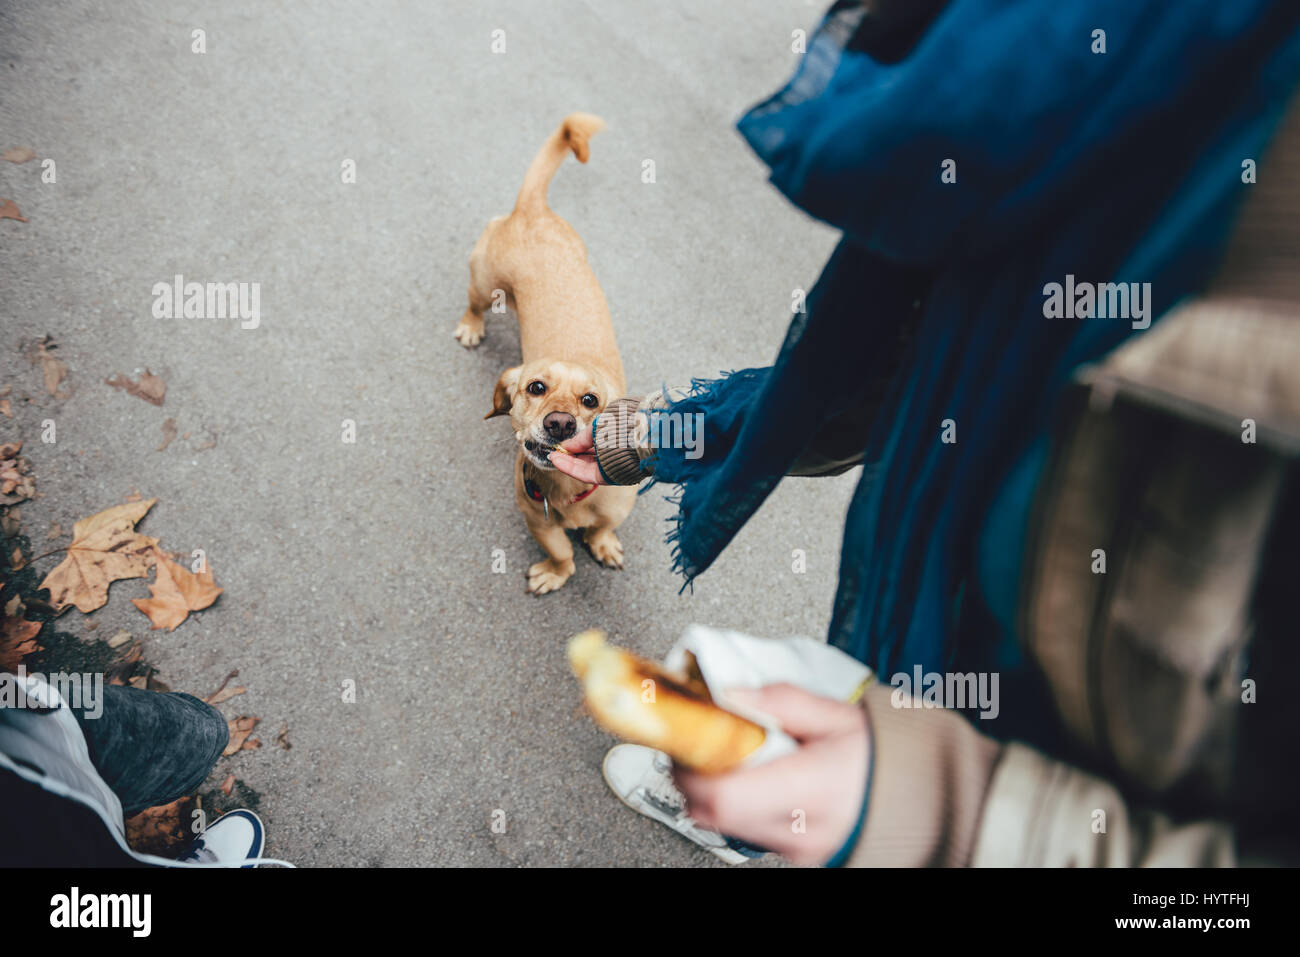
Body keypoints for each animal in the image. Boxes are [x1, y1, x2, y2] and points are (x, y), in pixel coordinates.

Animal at [460, 110, 637, 590]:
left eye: (591, 400)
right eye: (536, 387)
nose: (559, 423)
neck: (568, 492)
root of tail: (532, 210)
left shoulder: (616, 510)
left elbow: (601, 528)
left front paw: (602, 544)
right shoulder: (533, 517)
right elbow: (562, 551)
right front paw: (556, 573)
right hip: (485, 284)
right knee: (473, 303)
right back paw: (470, 326)